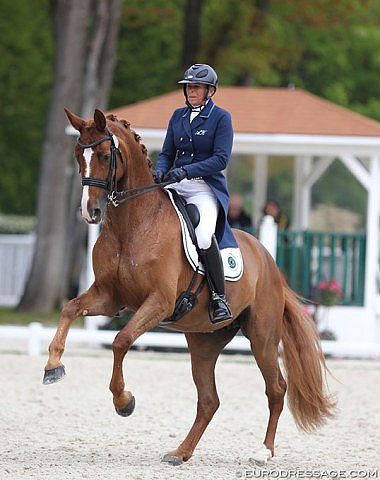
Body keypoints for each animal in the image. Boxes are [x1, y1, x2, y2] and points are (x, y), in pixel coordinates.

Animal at [43, 109, 336, 464]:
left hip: (262, 337)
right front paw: (53, 367)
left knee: (276, 389)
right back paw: (180, 452)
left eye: (103, 155)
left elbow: (121, 340)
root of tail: (269, 262)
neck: (133, 225)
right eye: (77, 156)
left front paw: (123, 401)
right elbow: (69, 308)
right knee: (210, 400)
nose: (91, 211)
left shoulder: (159, 302)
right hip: (203, 342)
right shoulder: (109, 297)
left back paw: (263, 452)